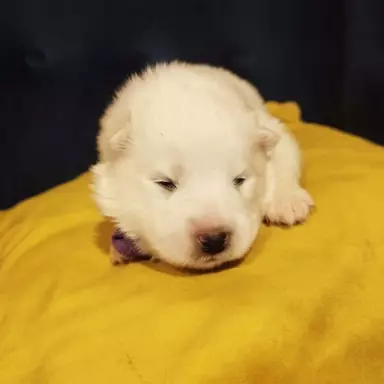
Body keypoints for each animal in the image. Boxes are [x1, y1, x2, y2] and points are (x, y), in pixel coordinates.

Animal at [91, 61, 314, 270]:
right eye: (165, 182)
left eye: (239, 180)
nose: (214, 239)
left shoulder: (271, 128)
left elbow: (284, 156)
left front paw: (287, 202)